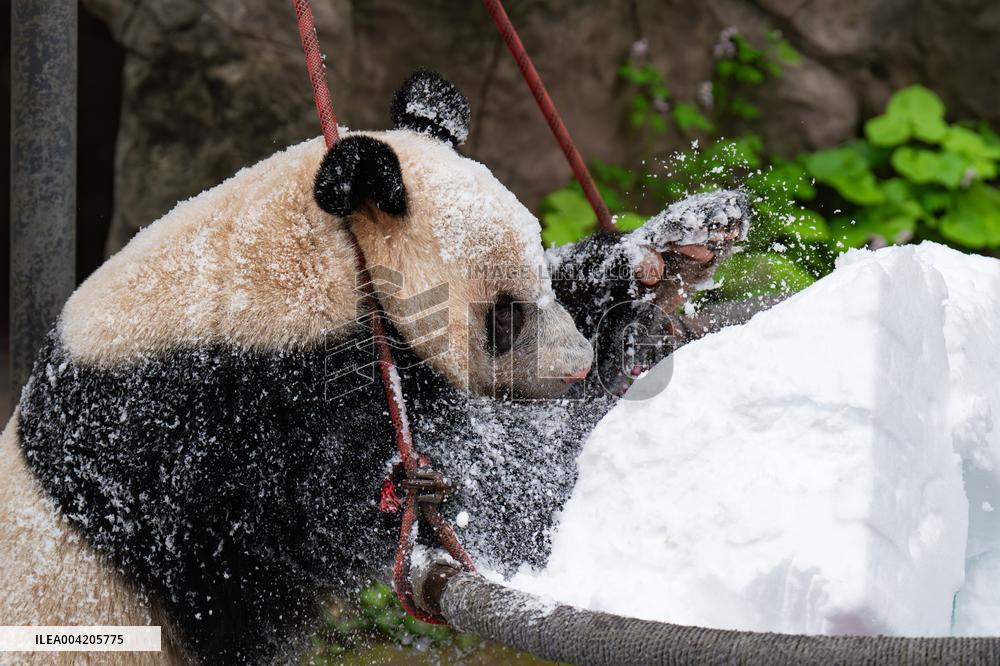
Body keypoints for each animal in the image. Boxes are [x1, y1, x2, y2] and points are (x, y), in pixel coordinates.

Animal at [0, 71, 750, 664]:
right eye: (504, 316)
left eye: (540, 272)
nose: (573, 367)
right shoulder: (221, 433)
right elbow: (487, 485)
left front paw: (669, 253)